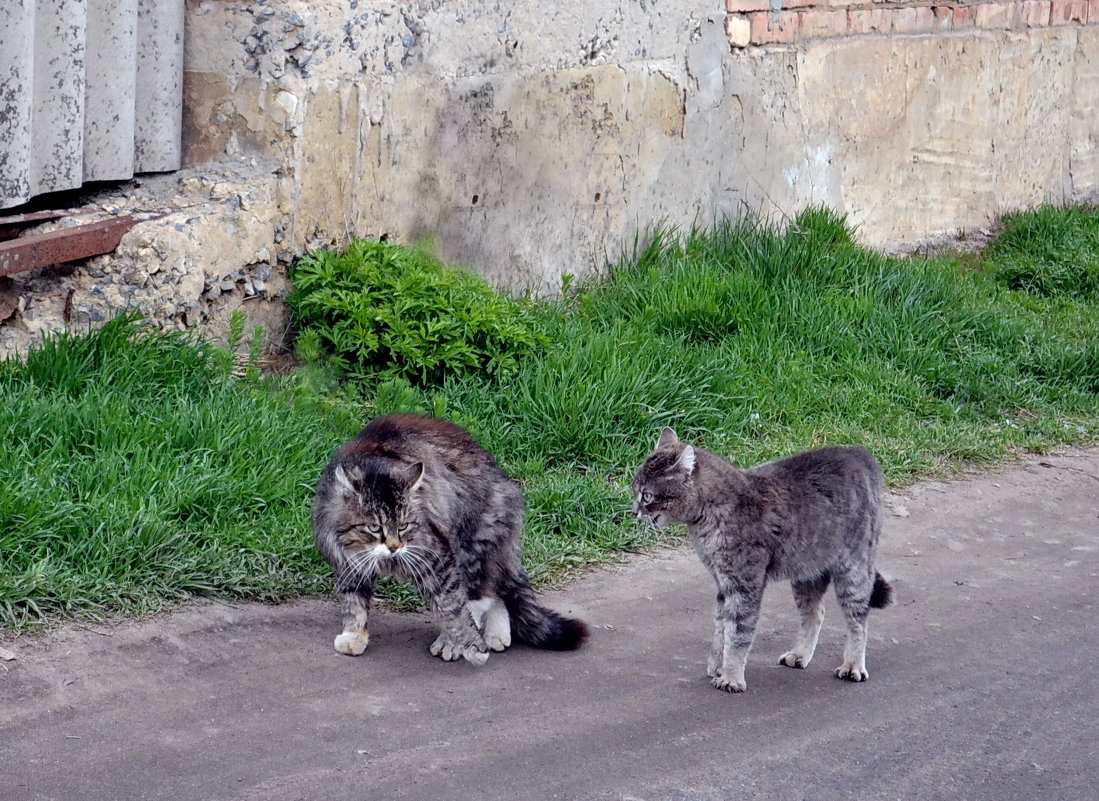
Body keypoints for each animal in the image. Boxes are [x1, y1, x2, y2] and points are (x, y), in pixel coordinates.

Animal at [314, 413, 589, 663]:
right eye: (374, 527)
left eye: (403, 526)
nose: (394, 547)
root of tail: (507, 485)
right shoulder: (348, 562)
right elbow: (353, 602)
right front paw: (354, 636)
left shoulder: (435, 555)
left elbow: (452, 605)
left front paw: (469, 645)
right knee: (493, 591)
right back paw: (496, 635)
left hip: (469, 547)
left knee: (477, 597)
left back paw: (455, 641)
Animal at [637, 428, 892, 690]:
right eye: (636, 489)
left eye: (647, 495)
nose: (634, 511)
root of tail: (859, 453)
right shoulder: (723, 584)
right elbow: (721, 630)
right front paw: (718, 665)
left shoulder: (744, 585)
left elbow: (738, 633)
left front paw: (731, 677)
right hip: (806, 572)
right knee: (815, 613)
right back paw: (799, 654)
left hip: (854, 570)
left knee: (857, 620)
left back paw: (853, 666)